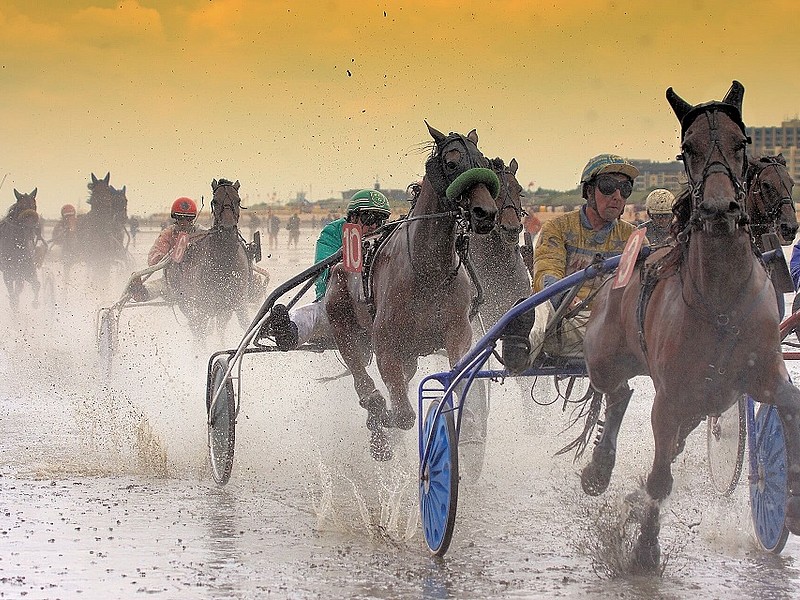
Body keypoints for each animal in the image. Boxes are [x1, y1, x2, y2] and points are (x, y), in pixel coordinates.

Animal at [167, 178, 255, 342]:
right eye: (215, 201)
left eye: (238, 200)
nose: (228, 228)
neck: (224, 261)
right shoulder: (203, 303)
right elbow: (200, 329)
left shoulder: (239, 300)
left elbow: (245, 323)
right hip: (185, 301)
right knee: (195, 327)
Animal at [324, 123, 500, 460]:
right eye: (452, 163)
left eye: (483, 161)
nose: (486, 213)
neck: (429, 273)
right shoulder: (387, 345)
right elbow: (403, 414)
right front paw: (386, 417)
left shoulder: (457, 331)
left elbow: (456, 380)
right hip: (339, 316)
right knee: (359, 372)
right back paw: (376, 419)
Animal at [580, 81, 800, 572]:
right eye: (688, 148)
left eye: (742, 143)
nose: (719, 209)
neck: (720, 299)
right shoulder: (671, 397)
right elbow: (660, 479)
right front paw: (645, 549)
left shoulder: (763, 372)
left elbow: (791, 404)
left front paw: (791, 501)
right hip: (604, 356)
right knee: (616, 392)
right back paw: (598, 469)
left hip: (700, 403)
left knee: (644, 412)